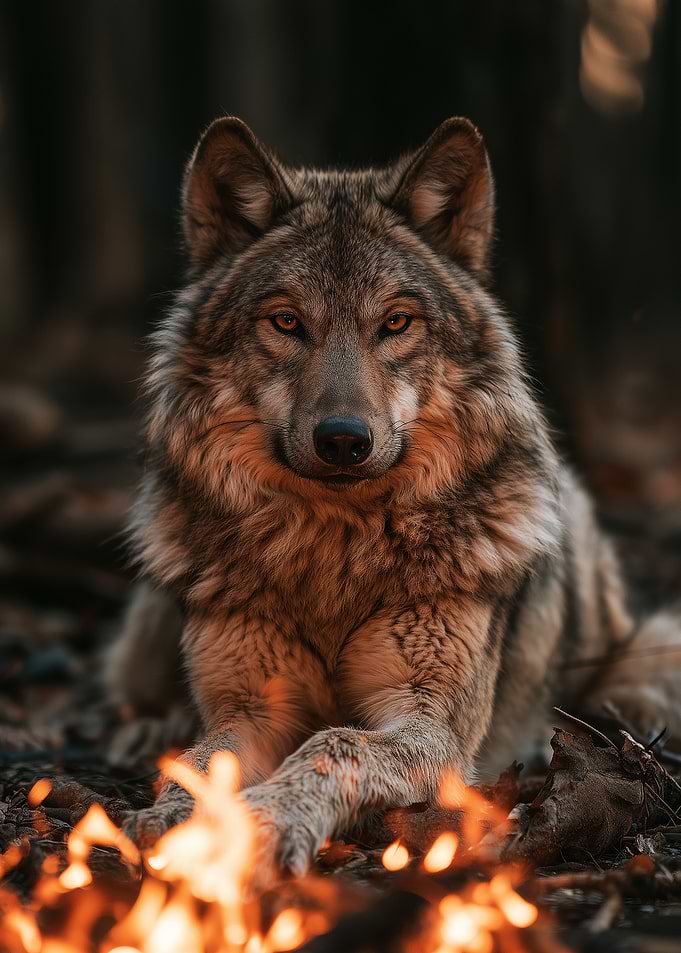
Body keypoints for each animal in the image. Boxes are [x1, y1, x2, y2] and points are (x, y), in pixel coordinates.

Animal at [107, 115, 681, 875]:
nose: (343, 439)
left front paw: (264, 822)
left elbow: (334, 741)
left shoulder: (429, 722)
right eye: (286, 322)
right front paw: (169, 817)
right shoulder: (250, 708)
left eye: (396, 323)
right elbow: (204, 760)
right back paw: (148, 730)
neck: (334, 546)